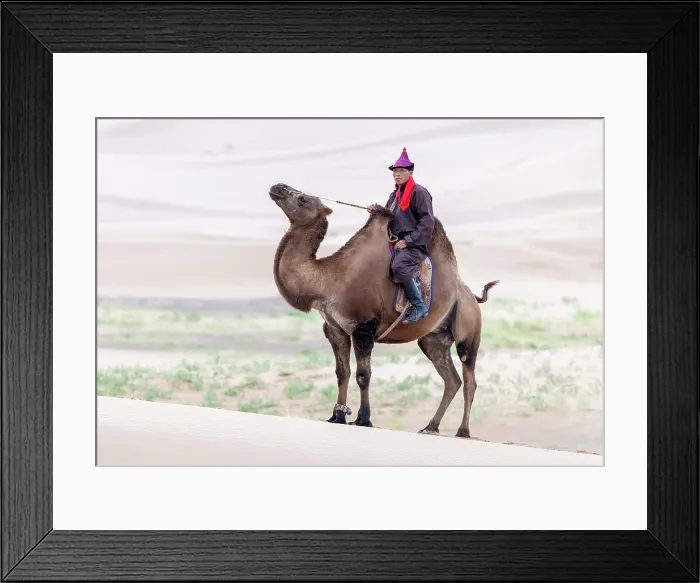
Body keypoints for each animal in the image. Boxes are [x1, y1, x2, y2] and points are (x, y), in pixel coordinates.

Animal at [269, 182, 498, 438]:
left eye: (302, 199)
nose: (278, 187)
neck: (329, 279)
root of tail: (472, 296)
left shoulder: (363, 327)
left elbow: (363, 375)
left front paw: (363, 419)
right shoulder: (335, 329)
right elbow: (342, 373)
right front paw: (337, 416)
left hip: (467, 325)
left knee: (469, 376)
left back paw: (462, 431)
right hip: (433, 339)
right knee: (451, 379)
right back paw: (430, 426)